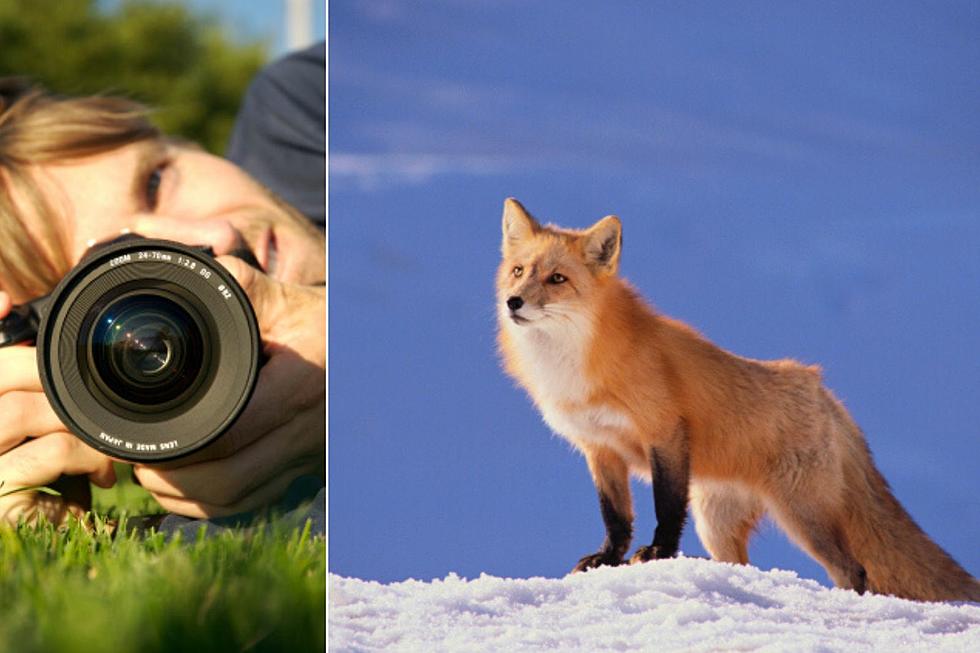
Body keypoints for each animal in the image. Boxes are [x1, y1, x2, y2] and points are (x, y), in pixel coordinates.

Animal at [498, 197, 980, 600]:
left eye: (557, 279)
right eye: (519, 271)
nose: (513, 302)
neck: (575, 367)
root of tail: (823, 390)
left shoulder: (665, 433)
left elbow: (665, 508)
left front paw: (657, 553)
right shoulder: (600, 449)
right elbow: (615, 518)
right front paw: (607, 559)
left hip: (802, 515)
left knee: (854, 570)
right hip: (717, 523)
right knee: (742, 564)